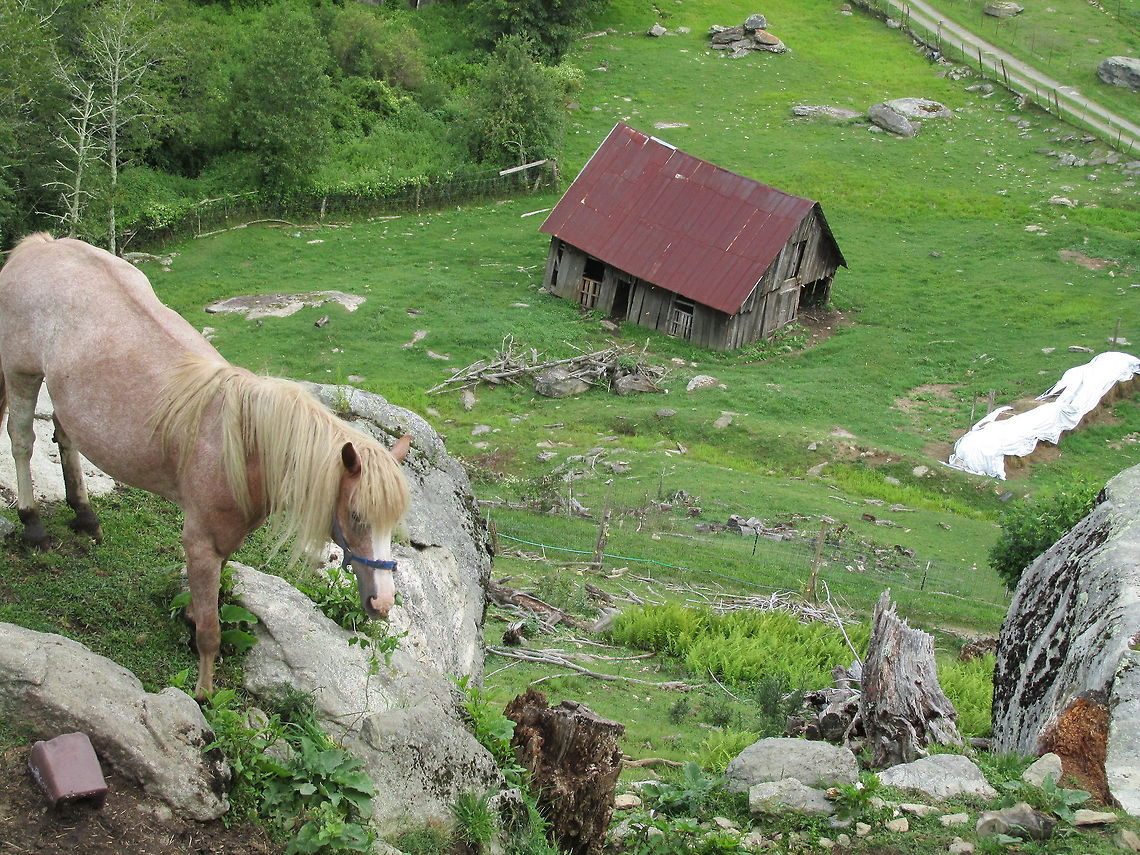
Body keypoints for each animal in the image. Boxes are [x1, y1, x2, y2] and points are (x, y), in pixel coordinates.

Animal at [0, 233, 411, 698]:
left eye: (393, 525)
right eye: (357, 517)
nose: (383, 603)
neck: (246, 448)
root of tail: (39, 245)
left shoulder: (223, 542)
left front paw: (192, 619)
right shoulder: (200, 544)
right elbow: (211, 634)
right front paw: (204, 693)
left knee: (65, 436)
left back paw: (85, 515)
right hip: (21, 373)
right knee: (21, 440)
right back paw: (33, 524)